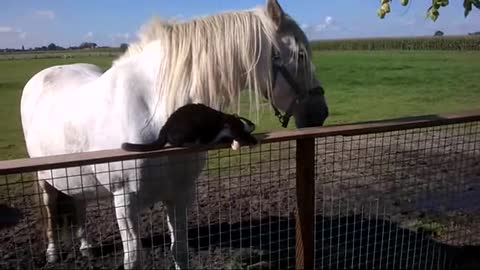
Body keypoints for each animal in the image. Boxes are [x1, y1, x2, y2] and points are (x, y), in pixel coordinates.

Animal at [122, 103, 258, 151]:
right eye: (246, 120)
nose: (253, 124)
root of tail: (165, 127)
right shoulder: (232, 127)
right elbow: (240, 134)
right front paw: (252, 139)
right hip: (190, 127)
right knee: (176, 142)